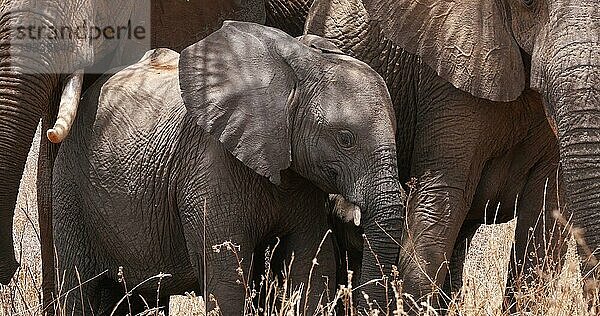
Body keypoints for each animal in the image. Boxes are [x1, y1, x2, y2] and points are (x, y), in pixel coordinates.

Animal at [54, 21, 404, 314]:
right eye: (346, 139)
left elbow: (310, 267)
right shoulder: (210, 170)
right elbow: (226, 282)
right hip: (70, 185)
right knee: (76, 286)